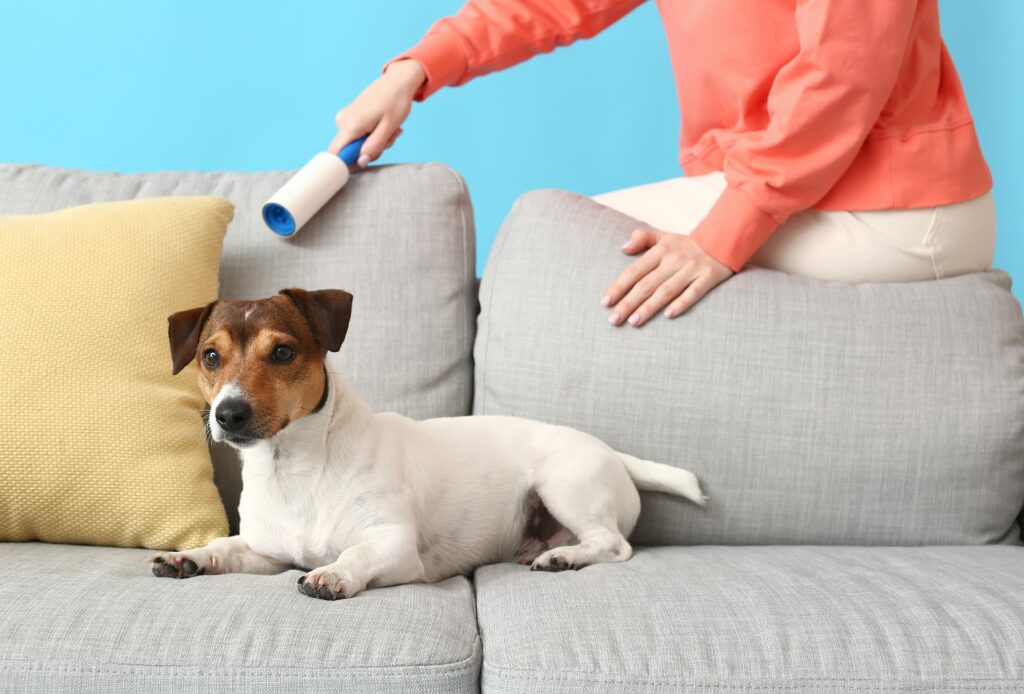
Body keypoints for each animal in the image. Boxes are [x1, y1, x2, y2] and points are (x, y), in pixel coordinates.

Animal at [149, 290, 704, 601]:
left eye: (282, 352)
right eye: (210, 356)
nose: (228, 413)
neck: (295, 468)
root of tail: (614, 453)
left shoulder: (395, 547)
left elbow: (355, 554)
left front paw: (333, 573)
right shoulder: (268, 552)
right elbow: (226, 547)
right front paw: (191, 556)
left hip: (565, 483)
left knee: (613, 544)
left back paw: (563, 557)